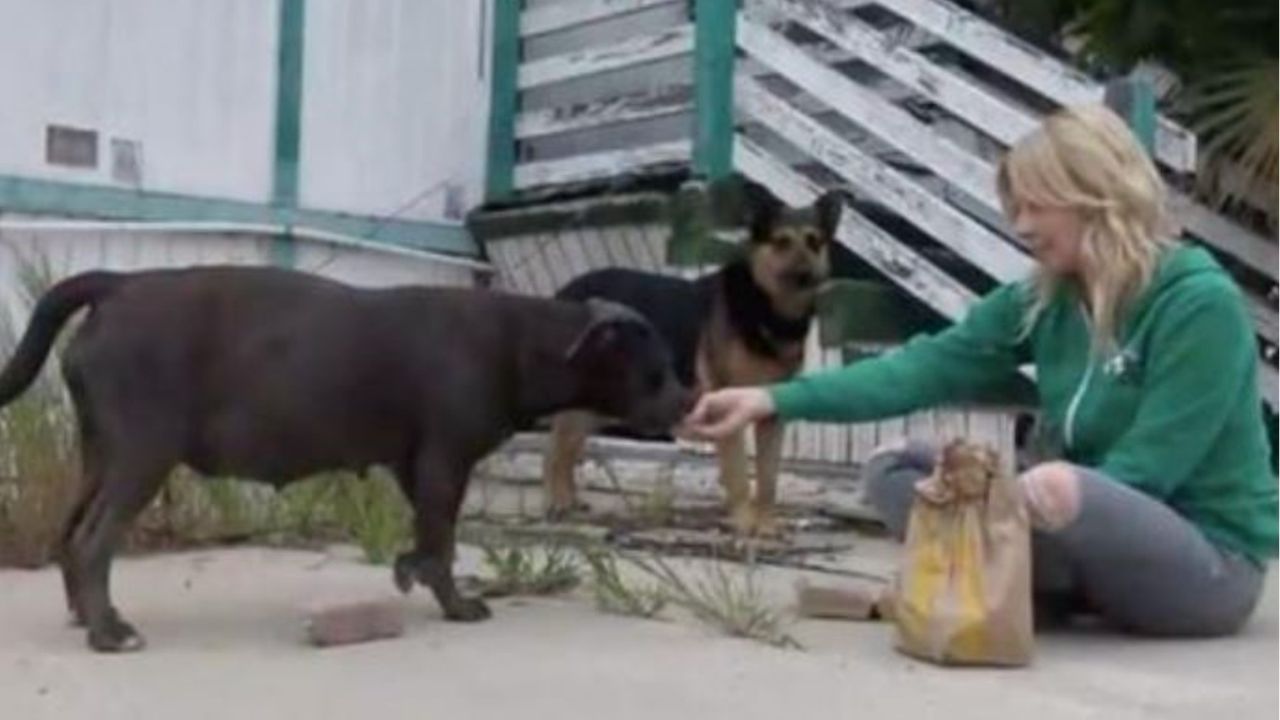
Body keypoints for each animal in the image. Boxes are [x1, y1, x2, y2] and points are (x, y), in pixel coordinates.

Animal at [0, 265, 691, 650]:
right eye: (656, 371)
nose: (690, 400)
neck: (524, 340)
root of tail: (119, 285)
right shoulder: (444, 463)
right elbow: (441, 541)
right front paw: (454, 603)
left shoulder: (416, 467)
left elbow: (430, 539)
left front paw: (414, 571)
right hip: (142, 455)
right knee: (93, 541)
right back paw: (108, 634)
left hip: (102, 455)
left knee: (71, 534)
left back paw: (91, 616)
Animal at [545, 181, 844, 535]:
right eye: (781, 241)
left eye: (814, 241)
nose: (805, 276)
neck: (768, 310)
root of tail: (564, 291)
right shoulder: (727, 407)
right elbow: (739, 474)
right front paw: (745, 523)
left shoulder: (771, 413)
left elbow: (768, 478)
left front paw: (766, 524)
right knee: (555, 452)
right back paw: (558, 503)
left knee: (565, 448)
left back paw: (570, 500)